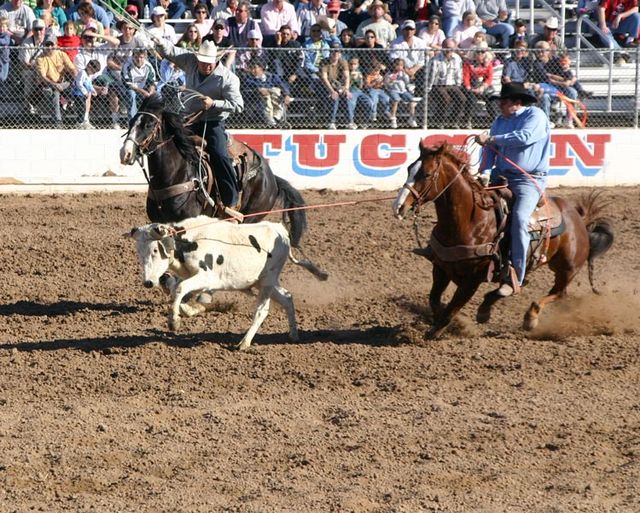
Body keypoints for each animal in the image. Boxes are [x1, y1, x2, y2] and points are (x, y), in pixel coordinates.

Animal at [120, 95, 308, 249]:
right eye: (130, 122)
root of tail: (271, 176)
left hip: (252, 216)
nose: (125, 153)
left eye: (149, 124)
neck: (176, 175)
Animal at [390, 142, 616, 338]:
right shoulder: (441, 268)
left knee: (559, 292)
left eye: (427, 174)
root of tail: (579, 219)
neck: (470, 221)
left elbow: (453, 307)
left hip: (567, 268)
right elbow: (435, 301)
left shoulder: (473, 279)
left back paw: (529, 317)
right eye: (409, 169)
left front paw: (434, 332)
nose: (398, 207)